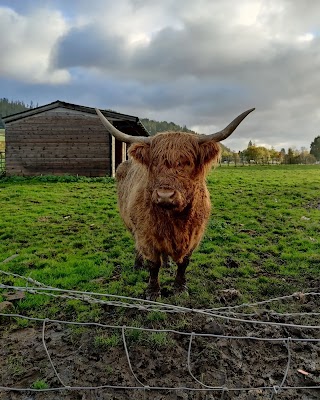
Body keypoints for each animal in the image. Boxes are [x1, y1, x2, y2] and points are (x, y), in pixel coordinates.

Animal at [96, 108, 254, 298]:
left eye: (188, 162)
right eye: (154, 163)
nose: (165, 195)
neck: (173, 219)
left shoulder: (195, 235)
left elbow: (184, 262)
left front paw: (179, 287)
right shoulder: (145, 234)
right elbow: (153, 264)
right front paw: (153, 291)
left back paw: (167, 264)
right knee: (137, 247)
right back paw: (138, 265)